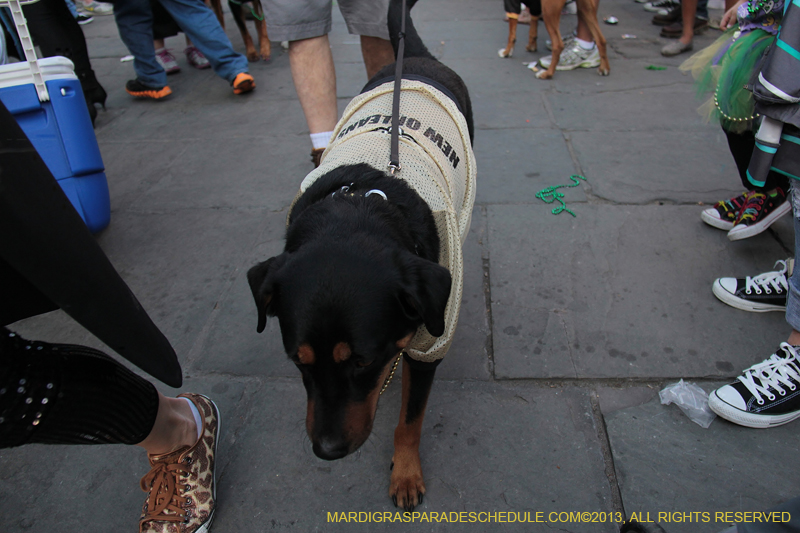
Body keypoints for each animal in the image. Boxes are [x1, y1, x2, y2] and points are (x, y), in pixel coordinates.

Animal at [250, 0, 472, 510]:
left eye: (363, 362)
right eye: (298, 361)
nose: (327, 450)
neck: (360, 211)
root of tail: (417, 57)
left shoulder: (429, 346)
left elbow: (410, 420)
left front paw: (405, 472)